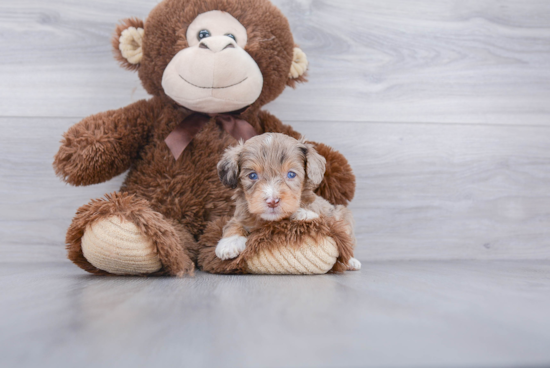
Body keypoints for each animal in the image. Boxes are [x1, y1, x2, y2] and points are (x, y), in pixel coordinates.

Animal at [215, 133, 362, 270]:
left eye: (291, 174)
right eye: (252, 175)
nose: (272, 201)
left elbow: (315, 213)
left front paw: (303, 213)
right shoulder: (241, 212)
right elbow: (234, 223)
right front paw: (229, 243)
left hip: (343, 214)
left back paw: (351, 262)